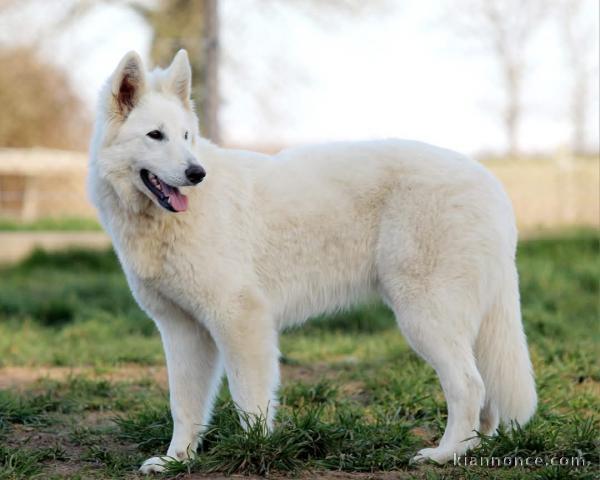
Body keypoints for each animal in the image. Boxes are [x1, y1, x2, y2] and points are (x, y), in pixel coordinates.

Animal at [86, 49, 536, 472]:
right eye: (155, 136)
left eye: (185, 136)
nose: (197, 173)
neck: (163, 222)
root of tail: (491, 183)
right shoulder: (182, 331)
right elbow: (184, 405)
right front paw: (176, 460)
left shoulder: (241, 320)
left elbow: (249, 400)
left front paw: (255, 452)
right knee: (486, 396)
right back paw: (478, 450)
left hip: (425, 316)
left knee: (469, 386)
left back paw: (444, 455)